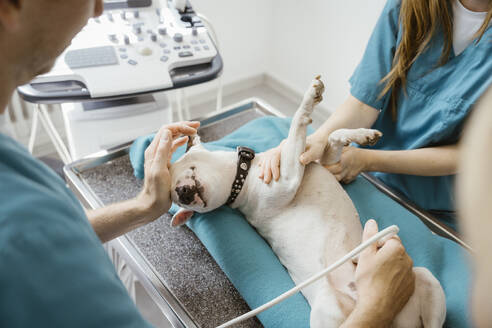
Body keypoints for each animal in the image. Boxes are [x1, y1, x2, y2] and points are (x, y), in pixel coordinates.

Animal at [168, 77, 446, 328]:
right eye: (177, 198)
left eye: (187, 169)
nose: (181, 193)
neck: (242, 177)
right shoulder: (289, 177)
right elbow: (296, 126)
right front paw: (308, 100)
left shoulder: (326, 164)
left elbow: (331, 137)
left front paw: (361, 135)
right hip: (329, 306)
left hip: (426, 279)